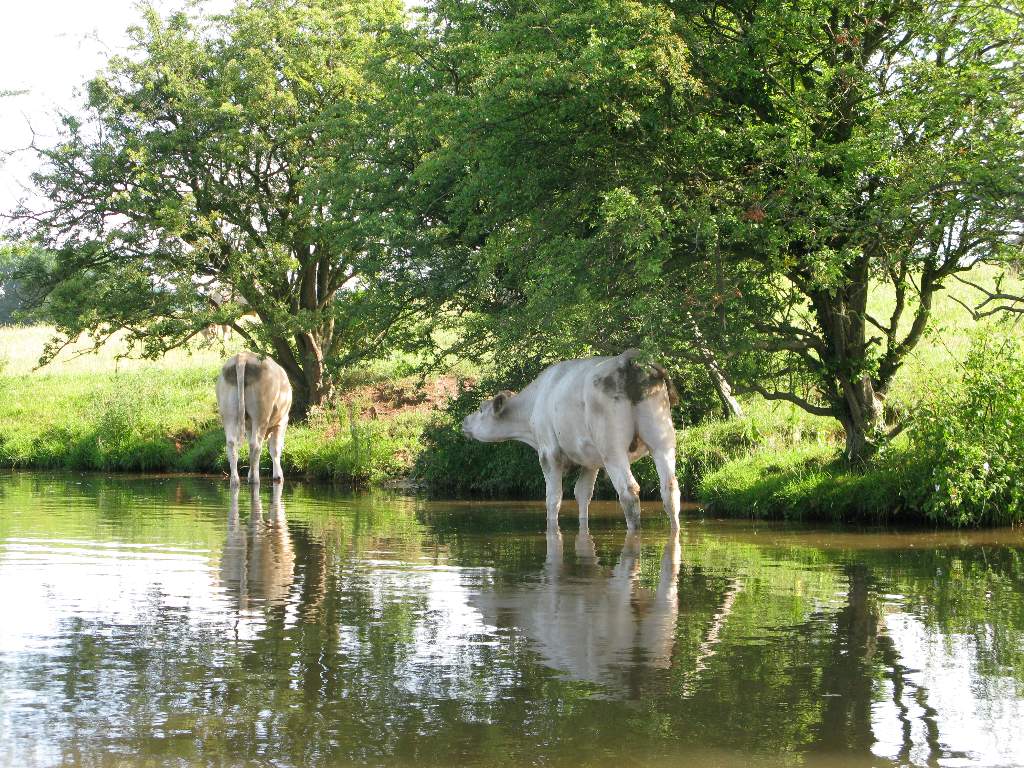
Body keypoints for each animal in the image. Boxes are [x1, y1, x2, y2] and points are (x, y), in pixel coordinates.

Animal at [216, 351, 292, 485]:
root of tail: (243, 356)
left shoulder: (248, 426)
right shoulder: (282, 421)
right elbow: (275, 448)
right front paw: (278, 476)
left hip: (228, 413)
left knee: (231, 443)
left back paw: (235, 480)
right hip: (261, 414)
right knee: (256, 445)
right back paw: (254, 479)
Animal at [461, 349, 681, 531]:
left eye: (481, 409)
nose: (464, 421)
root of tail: (628, 358)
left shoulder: (549, 453)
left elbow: (553, 498)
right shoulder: (590, 461)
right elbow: (582, 494)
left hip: (612, 447)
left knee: (628, 492)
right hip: (662, 439)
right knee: (669, 488)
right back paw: (675, 529)